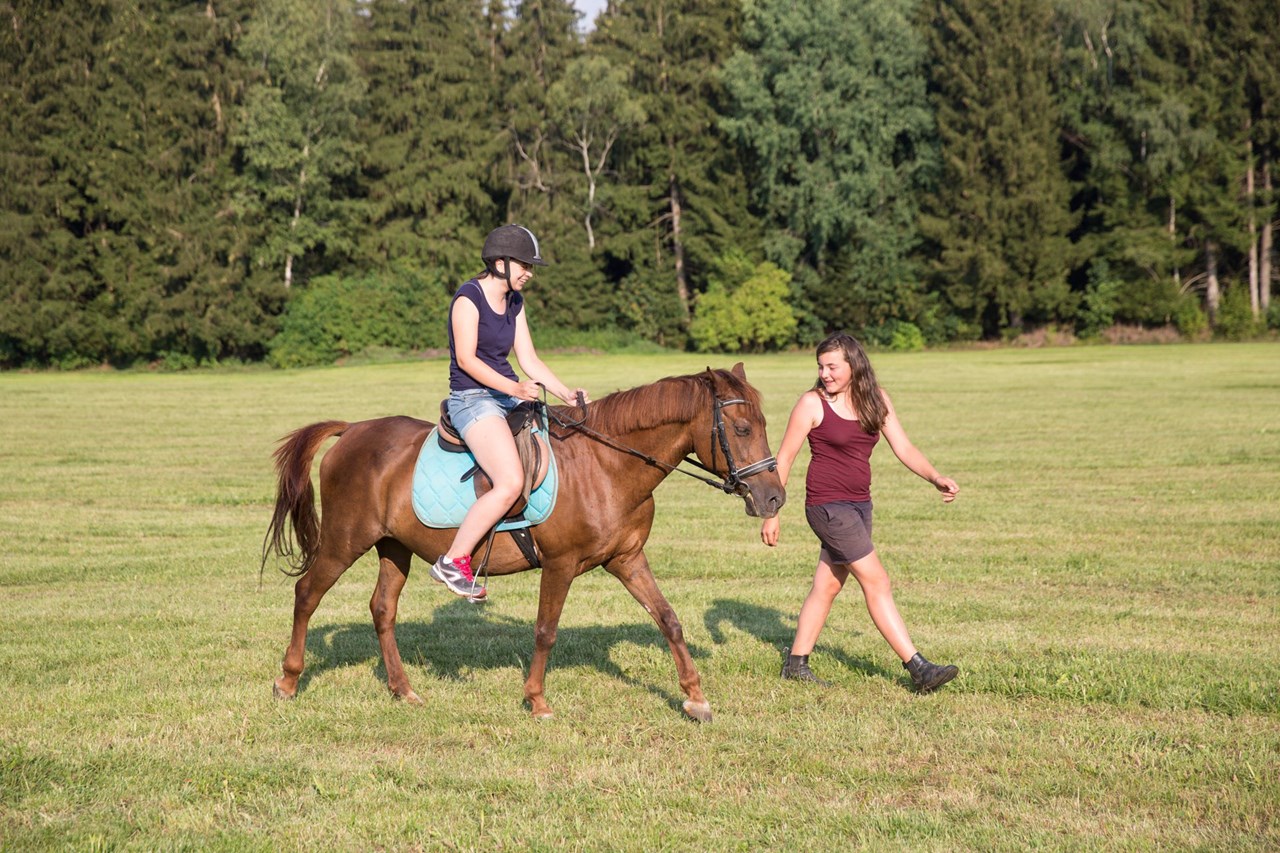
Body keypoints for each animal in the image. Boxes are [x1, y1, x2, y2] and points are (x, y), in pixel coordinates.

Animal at [261, 364, 786, 721]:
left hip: (394, 547)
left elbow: (669, 620)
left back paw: (403, 689)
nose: (774, 497)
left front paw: (695, 698)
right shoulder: (560, 564)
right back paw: (288, 680)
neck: (606, 465)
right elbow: (545, 631)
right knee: (307, 594)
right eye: (742, 429)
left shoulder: (627, 559)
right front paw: (536, 701)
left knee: (382, 609)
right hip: (345, 540)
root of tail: (352, 430)